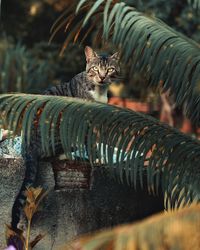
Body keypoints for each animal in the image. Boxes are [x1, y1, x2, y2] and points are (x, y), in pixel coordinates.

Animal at [10, 45, 119, 230]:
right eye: (95, 68)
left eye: (110, 69)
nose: (102, 76)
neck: (99, 91)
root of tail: (28, 144)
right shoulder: (85, 120)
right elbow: (91, 143)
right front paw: (97, 158)